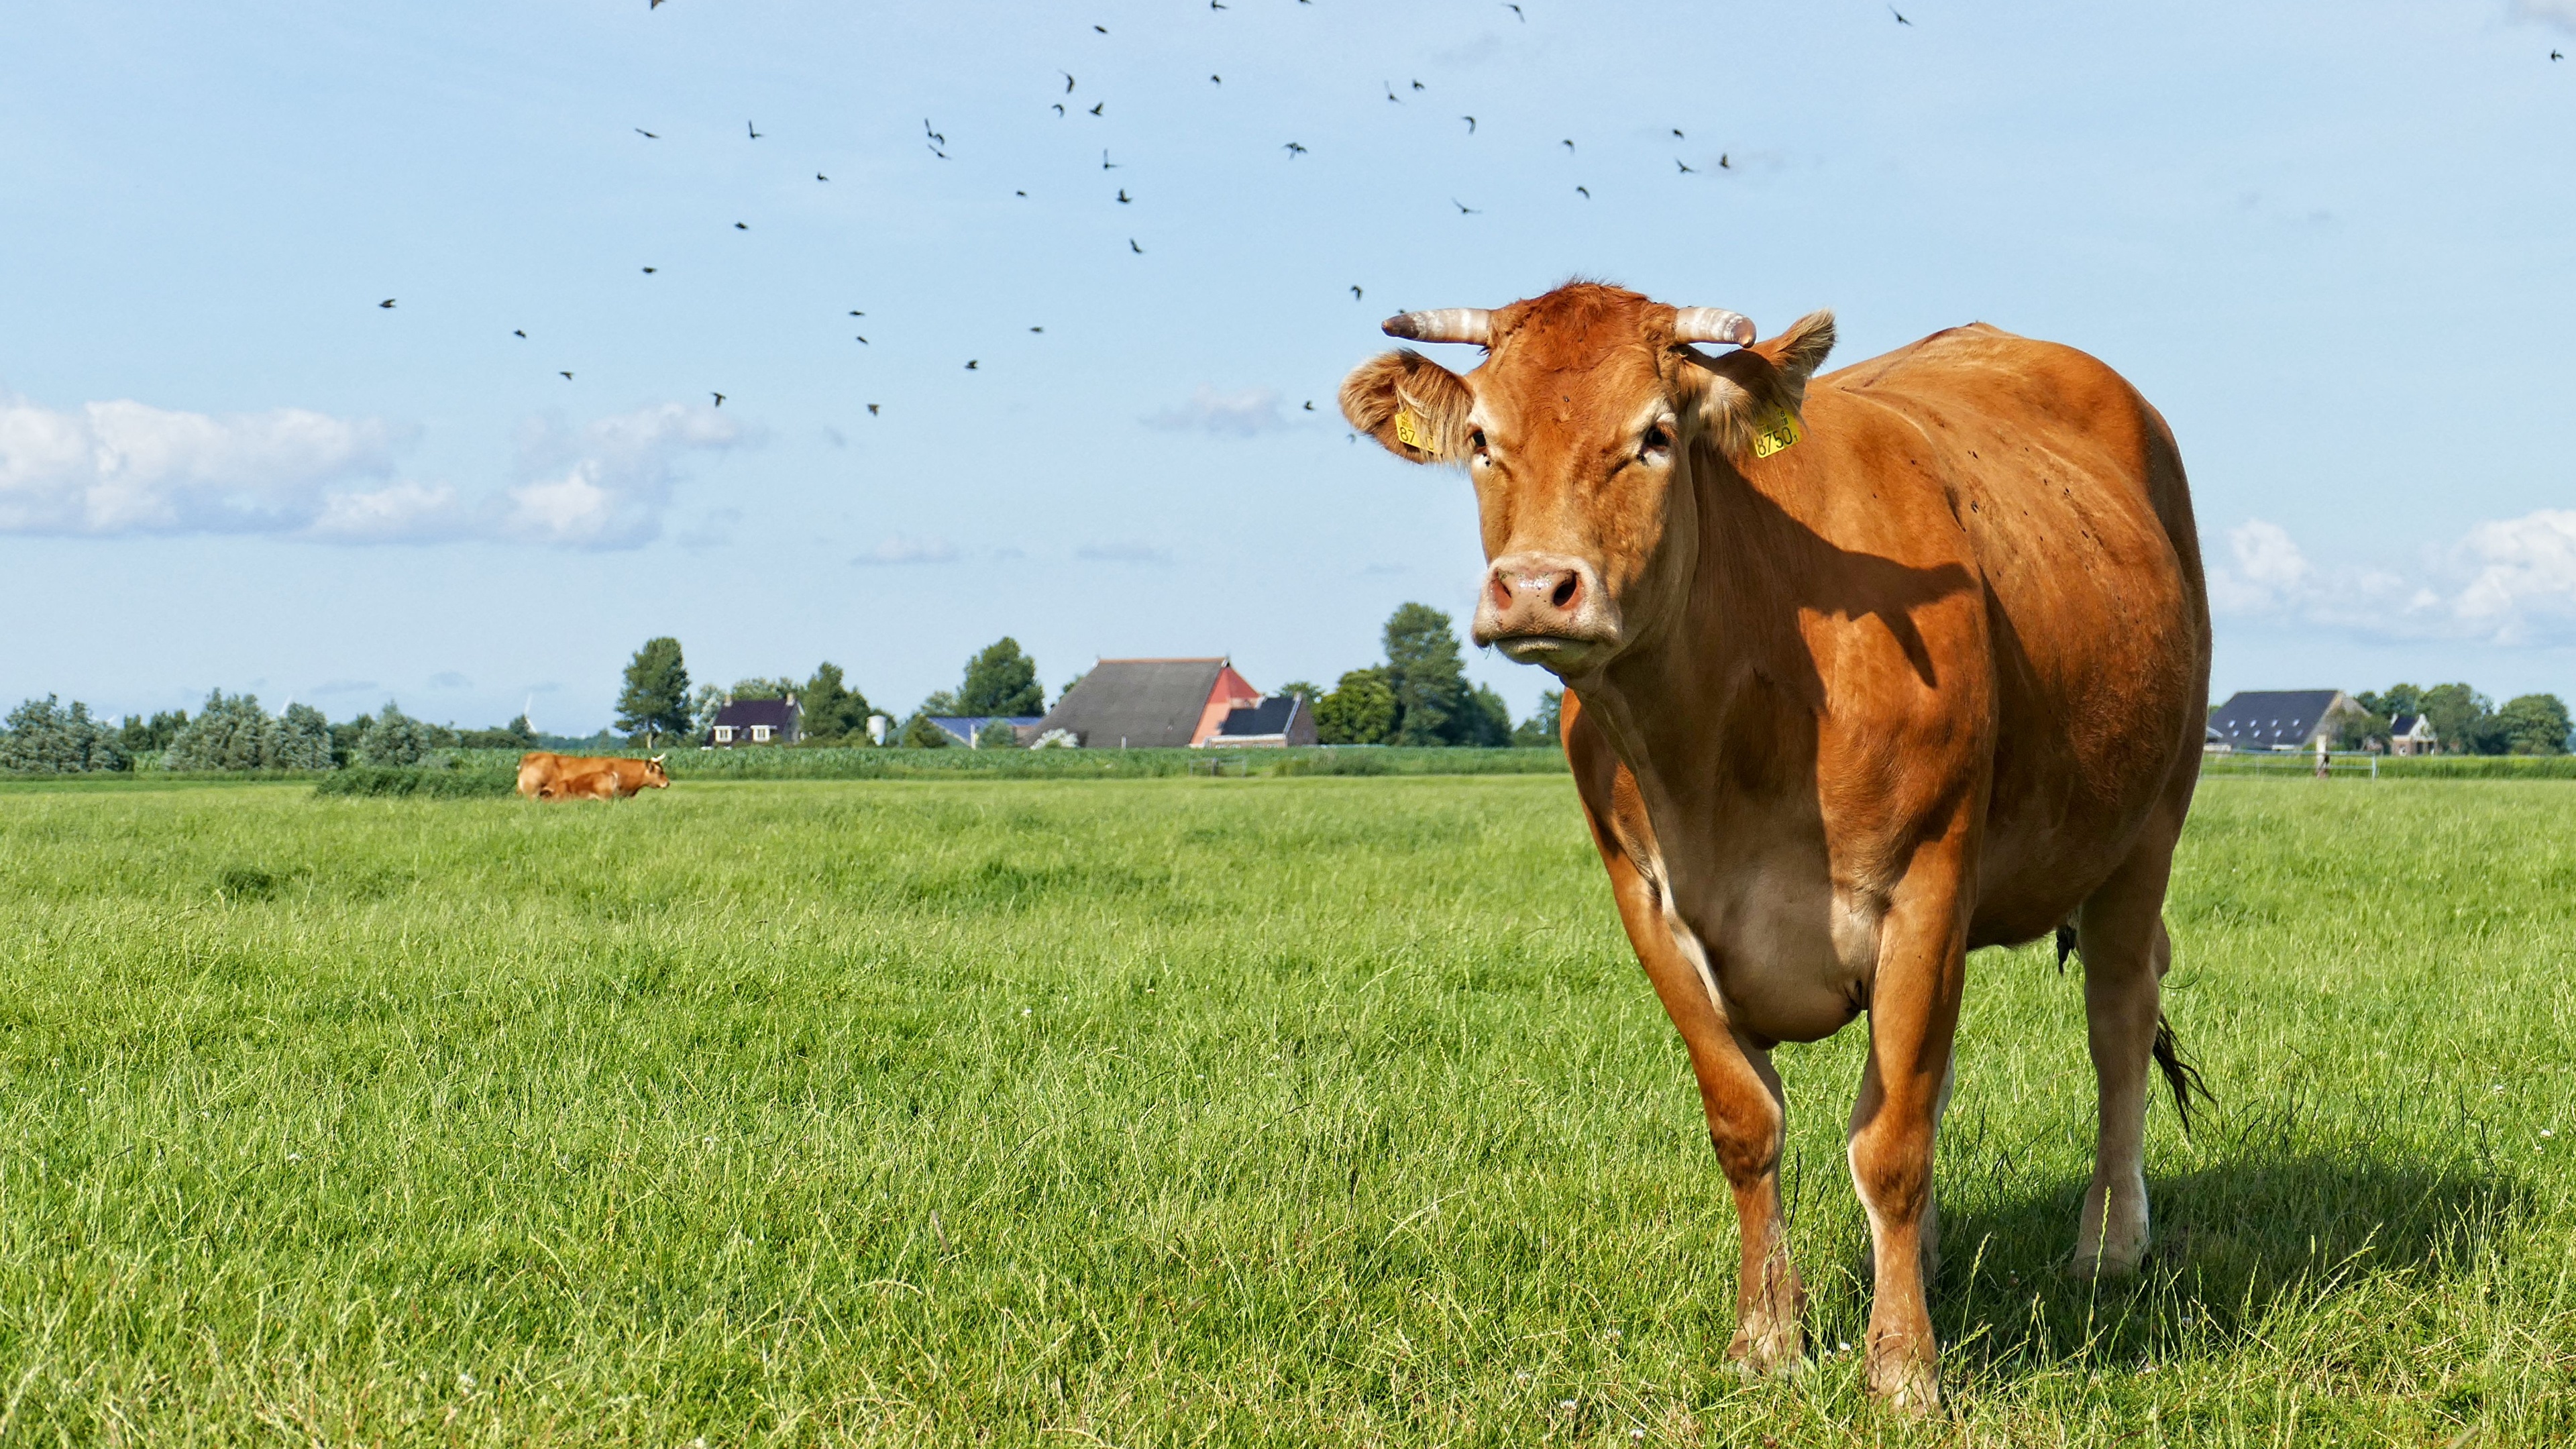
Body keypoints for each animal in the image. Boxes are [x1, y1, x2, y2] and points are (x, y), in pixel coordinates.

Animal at [1350, 282, 2215, 1413]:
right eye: (1486, 441)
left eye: (1655, 436)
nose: (1536, 588)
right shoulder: (1651, 906)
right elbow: (1750, 1125)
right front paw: (1767, 1339)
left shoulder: (1926, 883)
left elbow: (1891, 1145)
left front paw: (1905, 1370)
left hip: (2146, 825)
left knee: (2117, 1023)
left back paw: (2109, 1246)